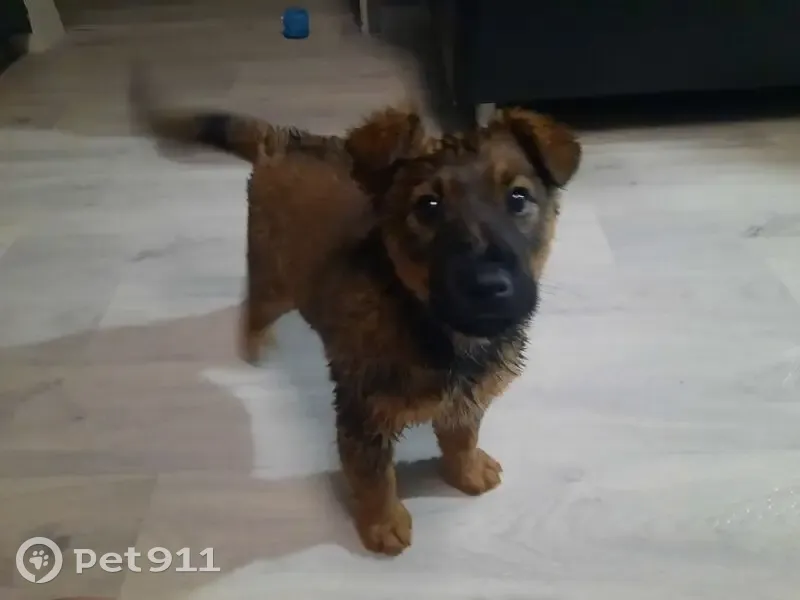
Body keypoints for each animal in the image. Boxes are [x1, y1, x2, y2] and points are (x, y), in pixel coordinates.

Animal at [130, 70, 582, 555]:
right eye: (428, 207)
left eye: (518, 198)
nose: (489, 287)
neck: (436, 328)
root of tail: (282, 141)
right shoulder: (363, 417)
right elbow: (373, 478)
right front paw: (383, 525)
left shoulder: (468, 398)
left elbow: (462, 435)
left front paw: (466, 471)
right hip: (274, 278)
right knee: (253, 306)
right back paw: (254, 344)